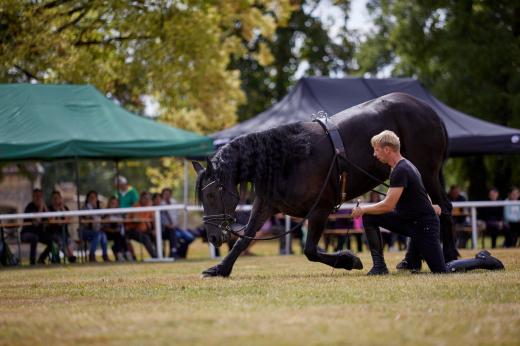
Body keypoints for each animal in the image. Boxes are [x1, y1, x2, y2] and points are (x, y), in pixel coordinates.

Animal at [193, 92, 458, 278]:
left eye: (213, 194)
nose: (213, 237)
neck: (288, 158)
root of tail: (430, 112)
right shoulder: (265, 205)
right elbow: (244, 239)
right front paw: (219, 269)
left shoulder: (320, 209)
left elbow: (310, 250)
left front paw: (349, 260)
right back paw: (411, 261)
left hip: (427, 174)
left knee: (442, 208)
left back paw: (450, 256)